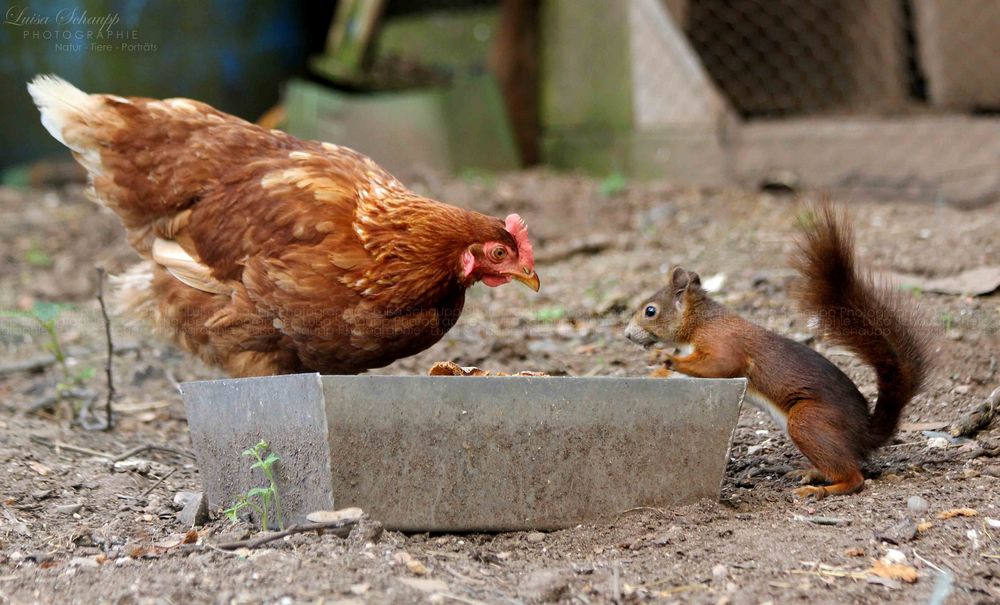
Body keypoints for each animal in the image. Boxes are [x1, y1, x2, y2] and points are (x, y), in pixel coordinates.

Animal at [624, 203, 928, 496]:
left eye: (650, 311)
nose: (627, 334)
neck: (700, 322)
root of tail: (864, 434)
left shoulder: (723, 342)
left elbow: (719, 364)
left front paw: (666, 358)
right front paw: (656, 374)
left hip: (807, 421)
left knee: (855, 477)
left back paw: (818, 490)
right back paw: (811, 473)